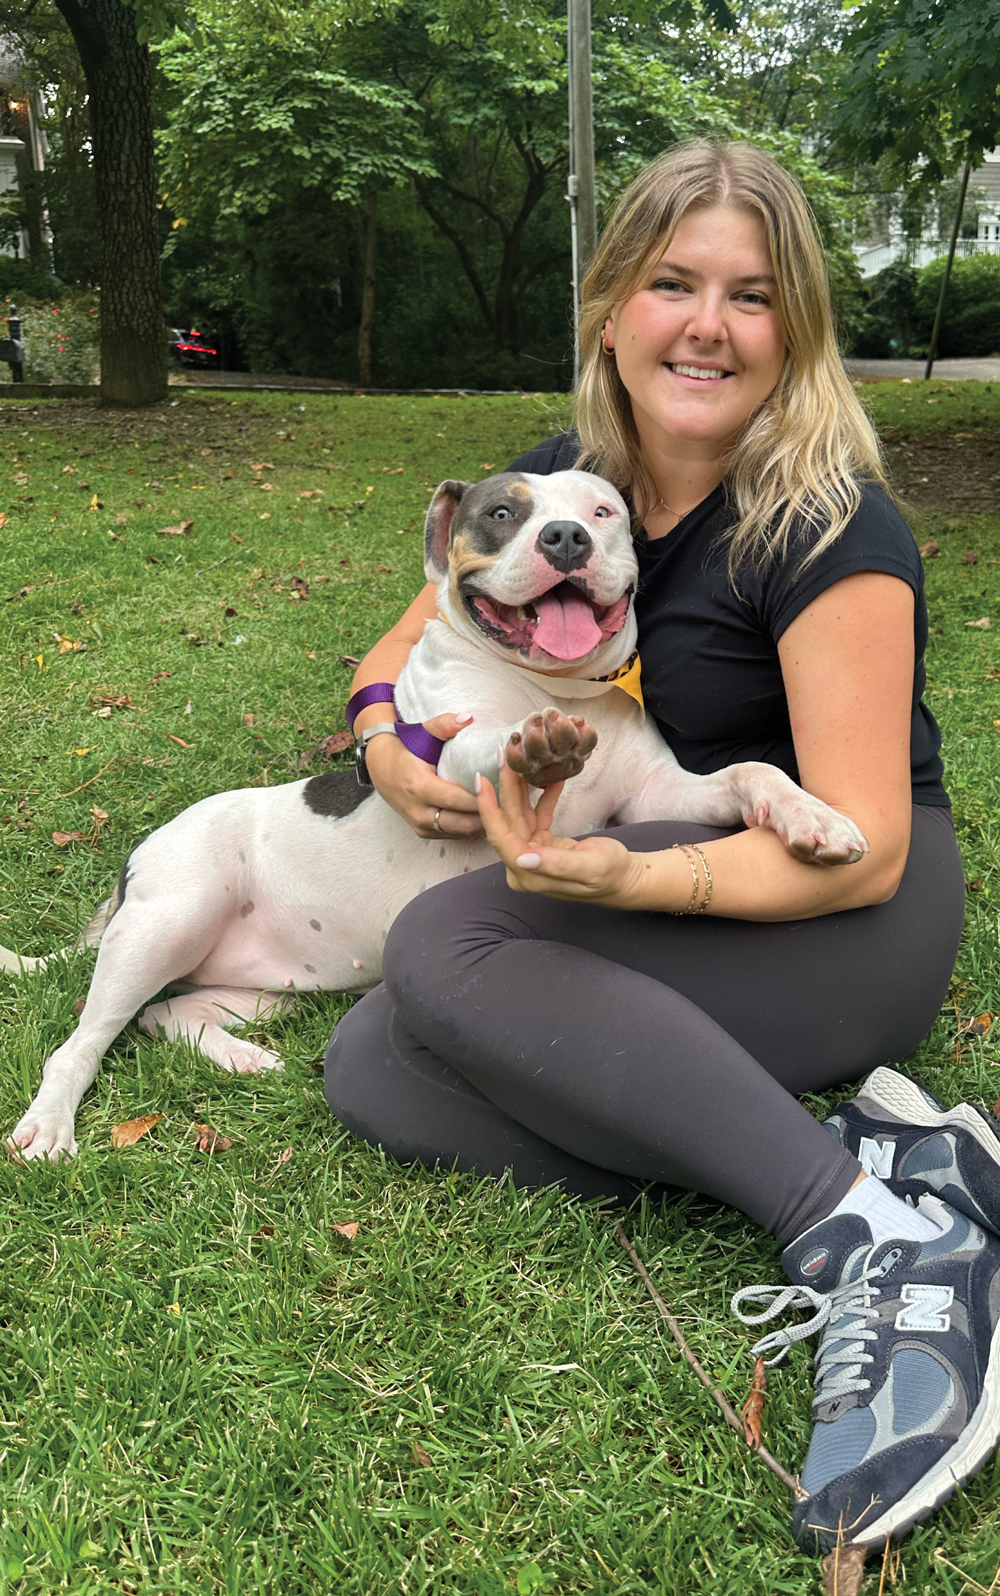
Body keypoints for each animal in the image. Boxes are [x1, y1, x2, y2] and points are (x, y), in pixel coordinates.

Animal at [1, 469, 867, 1161]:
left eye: (603, 510)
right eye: (501, 513)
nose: (566, 537)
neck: (555, 685)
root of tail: (133, 866)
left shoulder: (660, 795)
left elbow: (751, 771)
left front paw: (814, 820)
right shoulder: (454, 759)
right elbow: (487, 745)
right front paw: (532, 746)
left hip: (260, 986)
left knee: (162, 1017)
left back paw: (243, 1059)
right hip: (170, 918)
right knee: (82, 1039)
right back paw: (50, 1126)